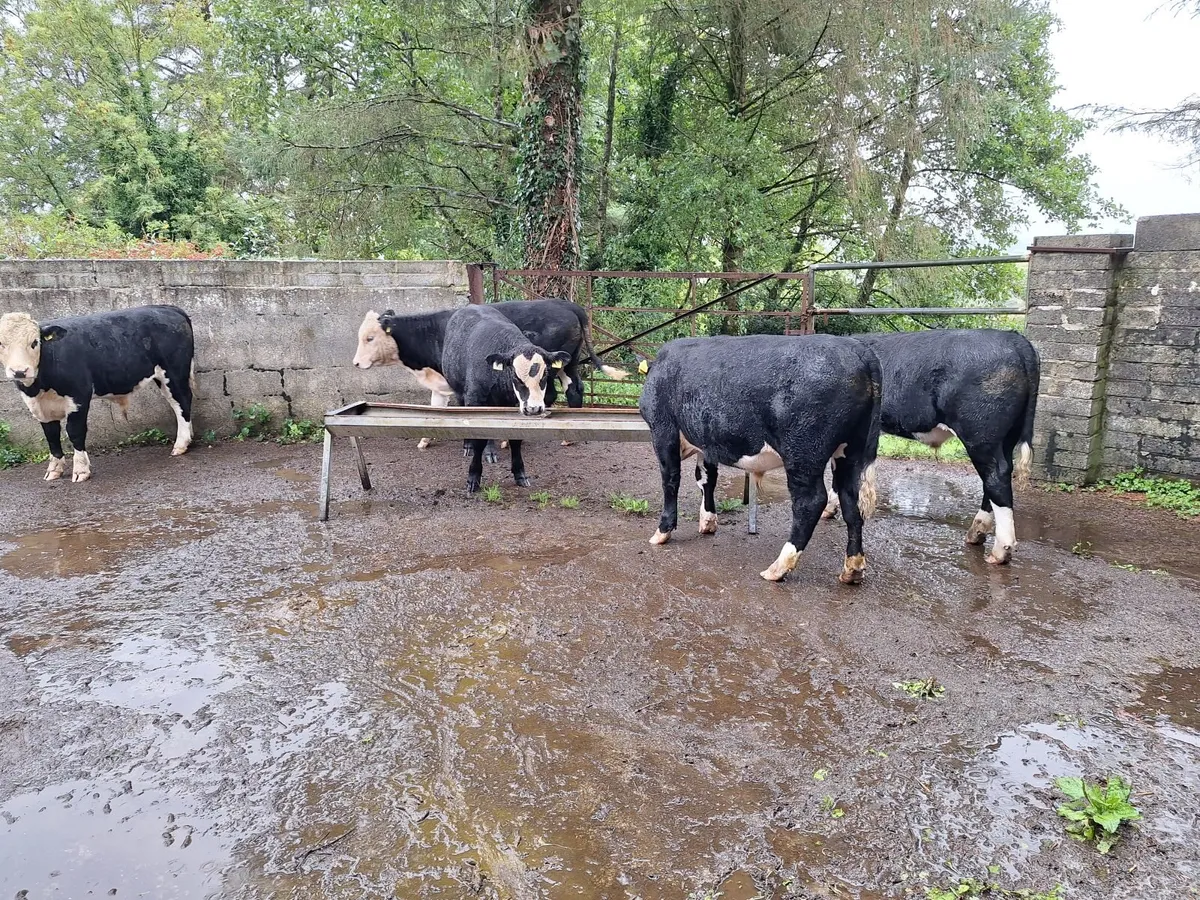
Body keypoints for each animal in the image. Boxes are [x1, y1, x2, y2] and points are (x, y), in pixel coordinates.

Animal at [0, 305, 195, 482]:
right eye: (1, 344)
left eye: (34, 342)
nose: (19, 371)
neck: (40, 387)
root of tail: (168, 308)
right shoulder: (39, 407)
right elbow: (51, 436)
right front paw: (54, 470)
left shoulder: (79, 396)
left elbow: (75, 432)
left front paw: (80, 470)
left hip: (174, 372)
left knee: (182, 401)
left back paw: (181, 444)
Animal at [352, 298, 627, 457]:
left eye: (370, 338)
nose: (355, 363)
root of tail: (569, 305)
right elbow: (437, 407)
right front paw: (424, 440)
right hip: (566, 363)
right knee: (573, 387)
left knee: (558, 391)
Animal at [440, 304, 572, 493]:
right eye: (516, 377)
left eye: (545, 374)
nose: (534, 408)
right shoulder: (475, 400)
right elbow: (478, 439)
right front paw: (473, 478)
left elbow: (515, 440)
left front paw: (520, 474)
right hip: (459, 390)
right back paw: (469, 446)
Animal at [639, 334, 882, 583]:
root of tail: (858, 350)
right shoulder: (707, 443)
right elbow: (706, 479)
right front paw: (707, 522)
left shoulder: (663, 430)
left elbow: (670, 480)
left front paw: (662, 533)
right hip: (852, 451)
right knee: (851, 501)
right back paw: (852, 569)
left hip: (803, 452)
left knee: (810, 501)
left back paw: (777, 568)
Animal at [820, 328, 1039, 566]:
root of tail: (1012, 337)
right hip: (1007, 436)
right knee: (998, 475)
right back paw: (975, 534)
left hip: (981, 433)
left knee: (996, 477)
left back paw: (999, 552)